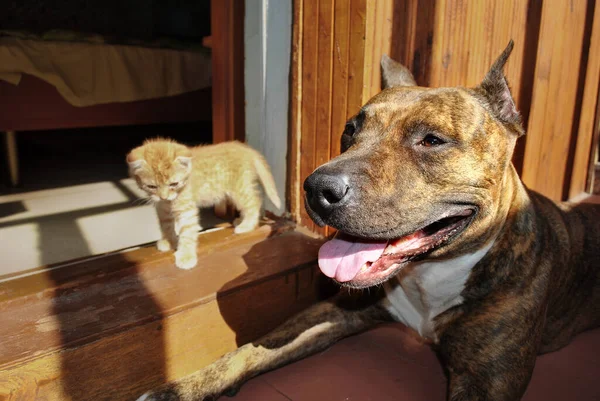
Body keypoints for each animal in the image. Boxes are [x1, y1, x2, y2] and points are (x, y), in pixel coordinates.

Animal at [126, 138, 282, 268]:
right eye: (152, 186)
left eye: (174, 184)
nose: (164, 197)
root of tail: (247, 149)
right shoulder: (161, 208)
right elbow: (166, 225)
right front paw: (169, 241)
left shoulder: (187, 210)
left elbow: (187, 231)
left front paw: (186, 256)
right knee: (256, 197)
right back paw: (245, 220)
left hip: (239, 189)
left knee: (254, 201)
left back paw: (247, 225)